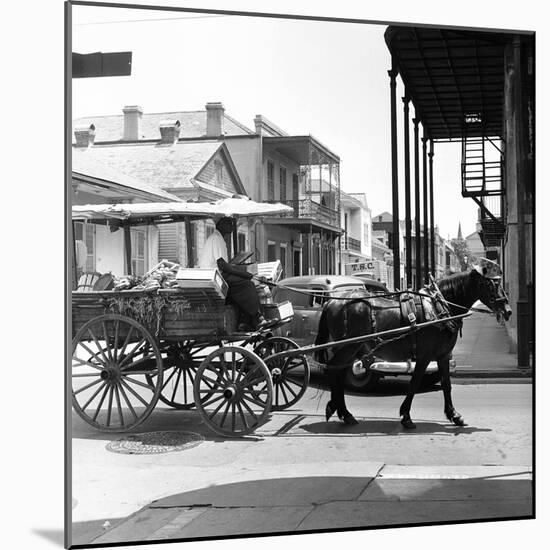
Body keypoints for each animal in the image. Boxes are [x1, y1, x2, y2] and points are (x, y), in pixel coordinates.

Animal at [316, 270, 516, 432]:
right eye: (489, 285)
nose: (508, 310)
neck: (439, 306)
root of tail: (331, 302)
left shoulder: (443, 355)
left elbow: (446, 385)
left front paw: (454, 415)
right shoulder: (425, 356)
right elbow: (414, 383)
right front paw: (406, 416)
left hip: (351, 348)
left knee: (339, 372)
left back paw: (343, 412)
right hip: (348, 346)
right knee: (333, 371)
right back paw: (338, 409)